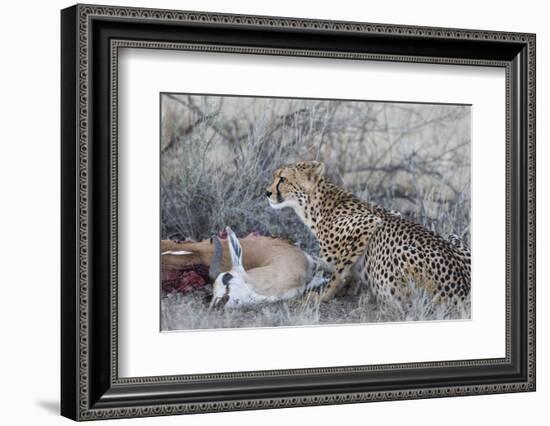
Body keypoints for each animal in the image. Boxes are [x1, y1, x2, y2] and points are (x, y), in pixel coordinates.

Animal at [266, 160, 472, 306]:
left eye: (282, 179)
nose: (267, 192)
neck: (314, 206)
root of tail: (462, 288)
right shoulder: (391, 213)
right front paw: (349, 286)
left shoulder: (369, 223)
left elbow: (338, 272)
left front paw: (323, 296)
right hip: (454, 238)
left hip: (401, 254)